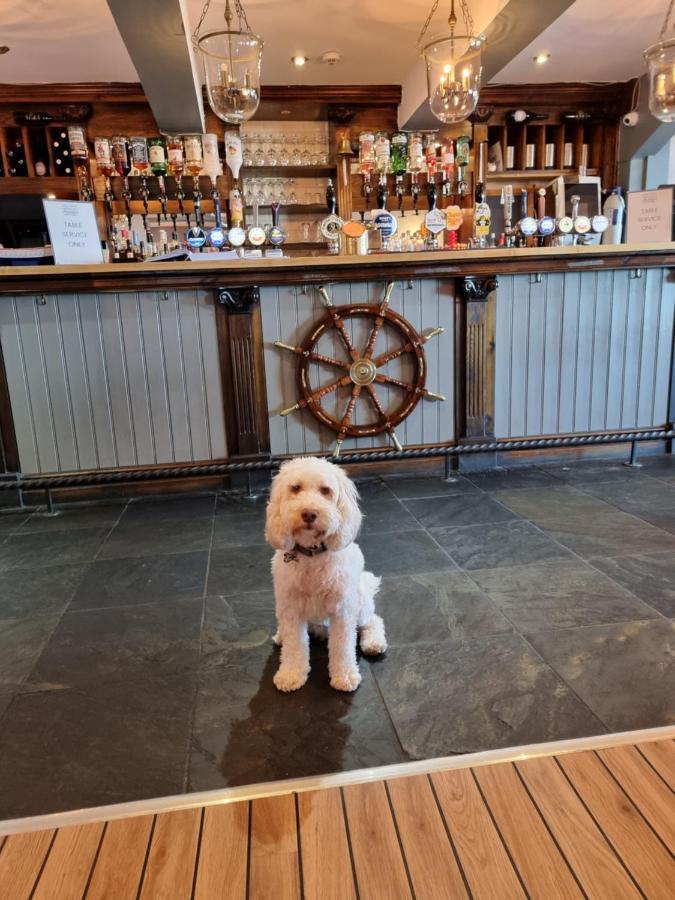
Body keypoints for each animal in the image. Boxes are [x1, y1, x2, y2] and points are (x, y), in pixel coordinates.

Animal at [266, 458, 388, 696]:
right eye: (295, 488)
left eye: (326, 490)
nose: (309, 513)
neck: (312, 554)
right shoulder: (290, 608)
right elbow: (295, 645)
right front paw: (291, 674)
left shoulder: (343, 610)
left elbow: (342, 646)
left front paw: (345, 675)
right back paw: (281, 635)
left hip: (360, 603)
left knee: (374, 620)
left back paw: (373, 642)